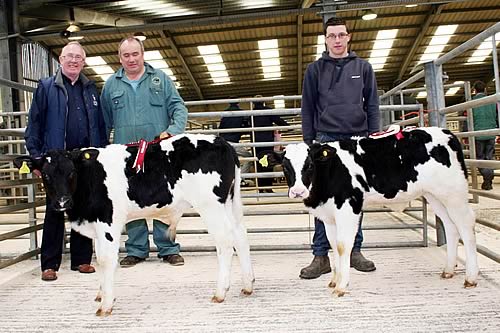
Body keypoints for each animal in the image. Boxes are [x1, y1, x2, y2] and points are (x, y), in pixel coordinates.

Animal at [15, 134, 254, 316]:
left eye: (71, 172)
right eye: (46, 175)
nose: (62, 201)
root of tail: (222, 142)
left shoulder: (107, 223)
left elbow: (106, 260)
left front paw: (106, 304)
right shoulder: (97, 226)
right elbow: (99, 259)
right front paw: (101, 293)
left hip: (211, 206)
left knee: (225, 242)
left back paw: (220, 292)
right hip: (229, 203)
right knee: (241, 236)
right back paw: (248, 285)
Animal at [264, 126, 478, 296]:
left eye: (309, 165)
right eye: (285, 167)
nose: (298, 191)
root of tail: (447, 133)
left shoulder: (349, 207)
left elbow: (342, 246)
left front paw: (341, 286)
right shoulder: (329, 215)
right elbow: (333, 244)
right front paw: (334, 280)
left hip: (454, 192)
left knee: (466, 224)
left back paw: (471, 277)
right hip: (435, 195)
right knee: (450, 226)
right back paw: (448, 270)